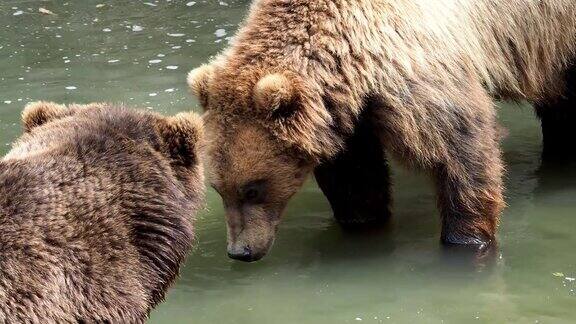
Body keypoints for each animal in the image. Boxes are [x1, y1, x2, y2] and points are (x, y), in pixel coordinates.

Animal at [189, 0, 576, 262]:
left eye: (253, 189)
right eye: (219, 188)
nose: (240, 251)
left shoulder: (418, 71)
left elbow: (463, 149)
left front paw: (466, 240)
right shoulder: (349, 112)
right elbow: (357, 179)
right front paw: (363, 222)